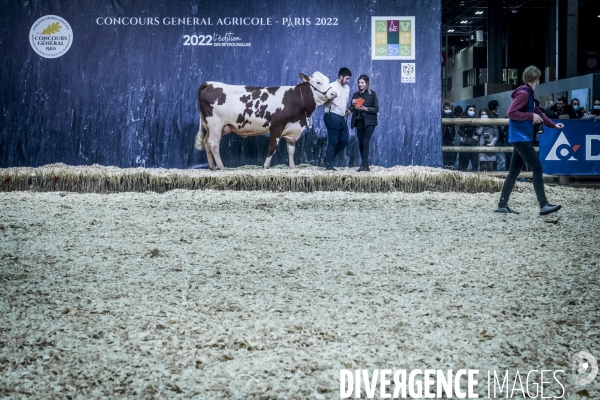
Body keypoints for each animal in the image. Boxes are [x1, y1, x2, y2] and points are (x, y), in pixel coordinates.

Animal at [195, 72, 336, 169]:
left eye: (328, 81)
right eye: (318, 82)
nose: (333, 93)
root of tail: (208, 83)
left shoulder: (291, 129)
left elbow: (291, 150)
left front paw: (292, 167)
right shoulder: (277, 126)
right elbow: (272, 147)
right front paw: (266, 166)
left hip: (214, 127)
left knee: (207, 142)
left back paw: (212, 167)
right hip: (215, 124)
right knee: (214, 144)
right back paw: (221, 167)